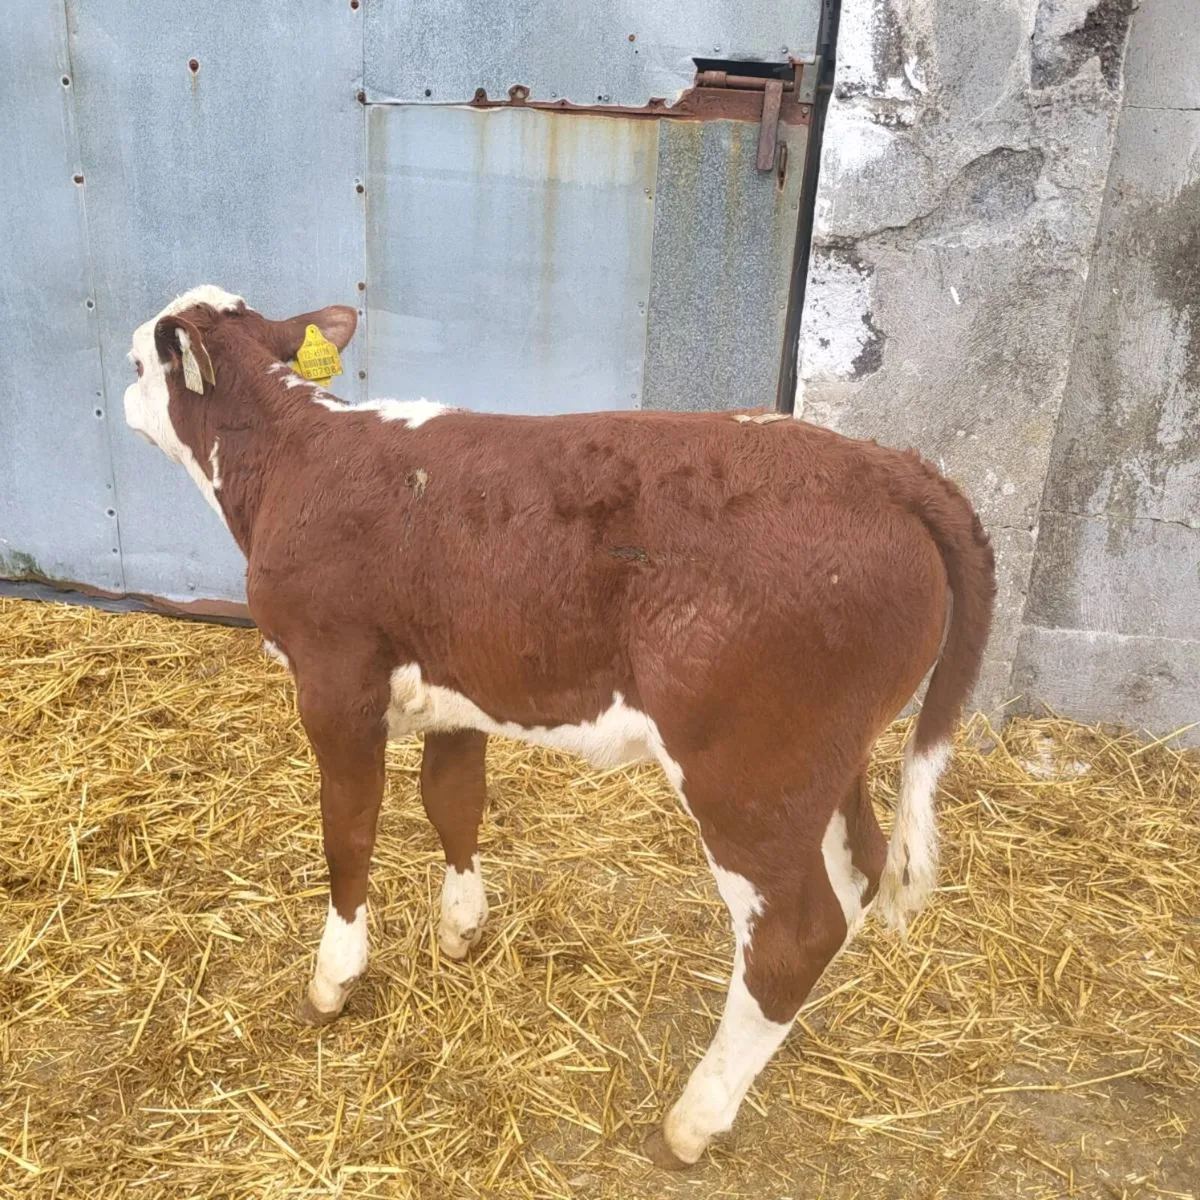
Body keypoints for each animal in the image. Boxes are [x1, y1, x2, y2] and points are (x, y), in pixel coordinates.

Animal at [122, 285, 995, 1167]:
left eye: (136, 361)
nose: (118, 396)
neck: (296, 457)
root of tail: (887, 467)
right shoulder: (457, 686)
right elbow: (453, 802)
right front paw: (461, 929)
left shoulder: (334, 683)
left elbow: (350, 831)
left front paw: (333, 980)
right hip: (824, 763)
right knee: (859, 874)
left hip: (747, 769)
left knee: (795, 934)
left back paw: (693, 1120)